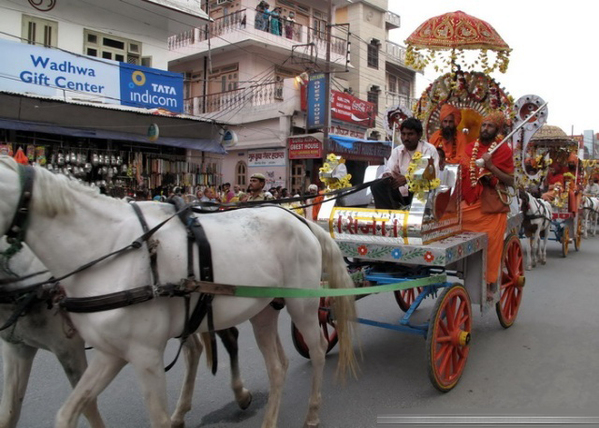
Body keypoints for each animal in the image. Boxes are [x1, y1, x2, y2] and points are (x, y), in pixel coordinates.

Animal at [0, 156, 358, 428]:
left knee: (315, 349)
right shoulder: (108, 352)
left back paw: (312, 413)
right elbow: (65, 412)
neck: (110, 250)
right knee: (277, 366)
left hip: (302, 304)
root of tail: (300, 221)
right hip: (263, 310)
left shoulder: (144, 355)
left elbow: (157, 419)